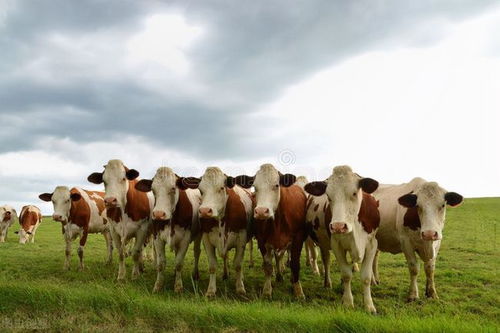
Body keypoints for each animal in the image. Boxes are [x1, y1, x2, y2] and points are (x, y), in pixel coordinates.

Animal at [234, 162, 308, 296]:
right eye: (255, 187)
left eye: (276, 185)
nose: (261, 211)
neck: (277, 222)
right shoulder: (262, 240)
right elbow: (268, 265)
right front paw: (267, 290)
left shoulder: (298, 238)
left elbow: (295, 264)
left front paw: (298, 291)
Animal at [302, 165, 380, 312]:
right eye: (328, 196)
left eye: (354, 193)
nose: (338, 226)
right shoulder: (336, 244)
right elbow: (346, 274)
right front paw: (348, 302)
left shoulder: (372, 244)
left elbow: (366, 277)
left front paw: (369, 305)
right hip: (319, 241)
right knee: (326, 260)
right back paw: (328, 282)